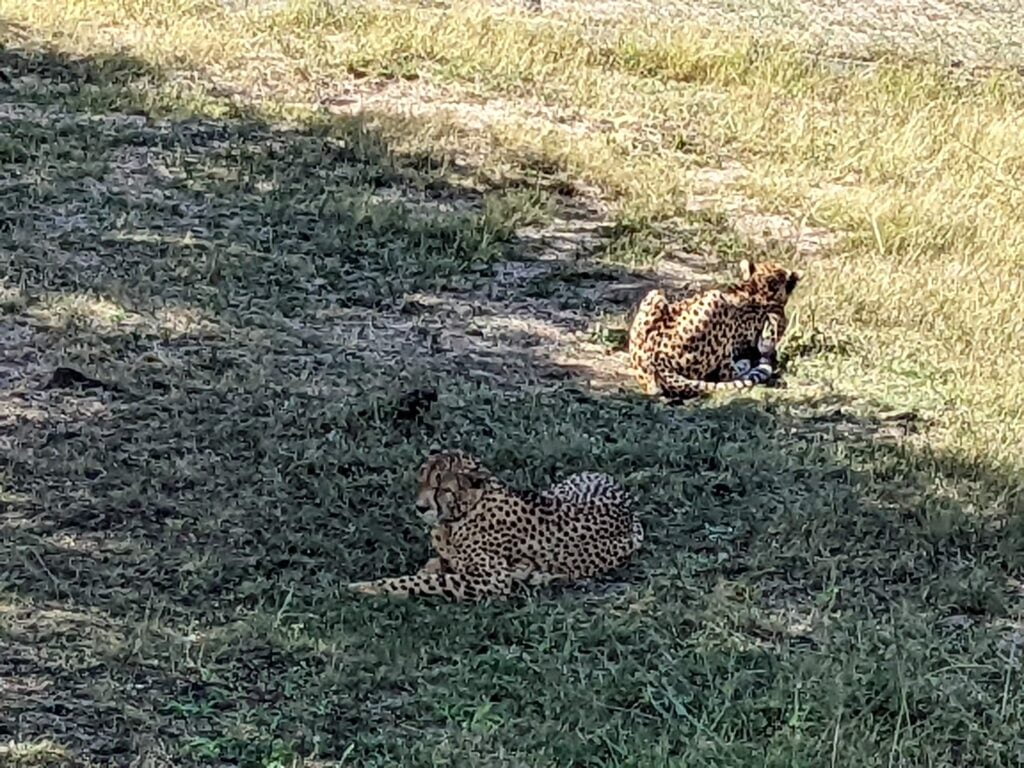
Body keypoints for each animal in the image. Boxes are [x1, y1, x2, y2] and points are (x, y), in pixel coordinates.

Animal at [348, 450, 643, 602]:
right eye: (422, 481)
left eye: (442, 487)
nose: (420, 507)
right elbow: (434, 567)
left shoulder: (493, 579)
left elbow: (429, 581)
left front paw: (370, 587)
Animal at [626, 260, 802, 399]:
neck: (758, 288)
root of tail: (657, 363)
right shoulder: (770, 330)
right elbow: (766, 345)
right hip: (716, 300)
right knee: (726, 372)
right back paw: (744, 364)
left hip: (654, 295)